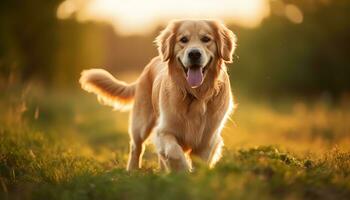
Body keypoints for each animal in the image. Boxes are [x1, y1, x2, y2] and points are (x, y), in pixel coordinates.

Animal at [79, 19, 237, 172]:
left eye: (206, 39)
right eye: (183, 39)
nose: (194, 54)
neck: (195, 94)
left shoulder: (208, 139)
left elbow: (201, 162)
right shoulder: (163, 131)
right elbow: (174, 151)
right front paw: (182, 171)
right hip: (140, 124)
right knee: (136, 147)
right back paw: (132, 171)